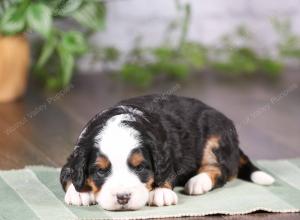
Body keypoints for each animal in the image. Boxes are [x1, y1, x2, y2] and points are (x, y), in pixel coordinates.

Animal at [60, 94, 274, 210]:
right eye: (101, 171)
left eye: (140, 168)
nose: (123, 198)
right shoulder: (74, 156)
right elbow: (68, 174)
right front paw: (79, 193)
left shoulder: (168, 153)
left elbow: (167, 173)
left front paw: (161, 192)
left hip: (215, 135)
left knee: (221, 170)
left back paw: (198, 182)